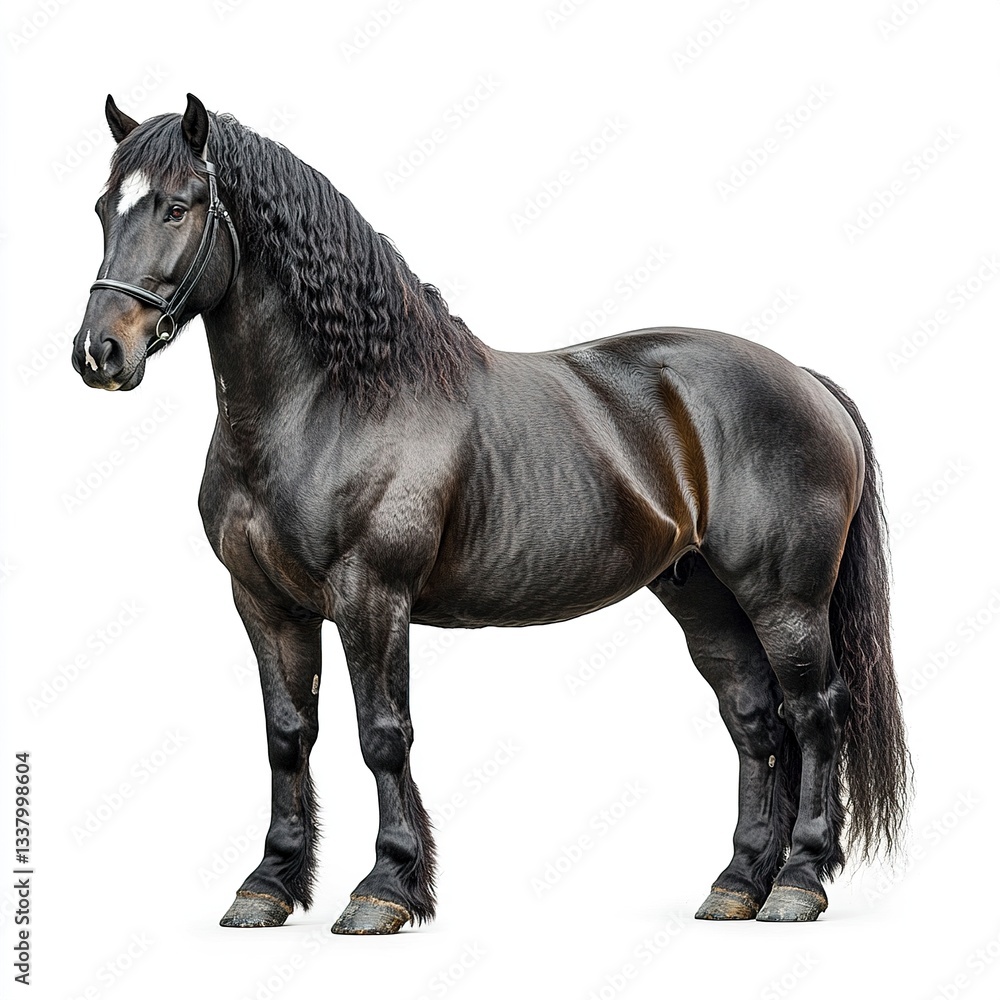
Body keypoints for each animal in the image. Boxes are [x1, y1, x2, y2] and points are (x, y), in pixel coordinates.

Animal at [72, 93, 908, 933]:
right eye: (104, 207)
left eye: (178, 206)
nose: (98, 353)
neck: (331, 401)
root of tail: (805, 379)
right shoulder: (264, 602)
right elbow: (287, 736)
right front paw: (269, 885)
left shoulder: (371, 596)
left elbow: (383, 736)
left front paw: (385, 887)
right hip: (703, 594)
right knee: (754, 720)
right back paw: (738, 883)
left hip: (785, 600)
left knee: (813, 714)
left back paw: (798, 882)